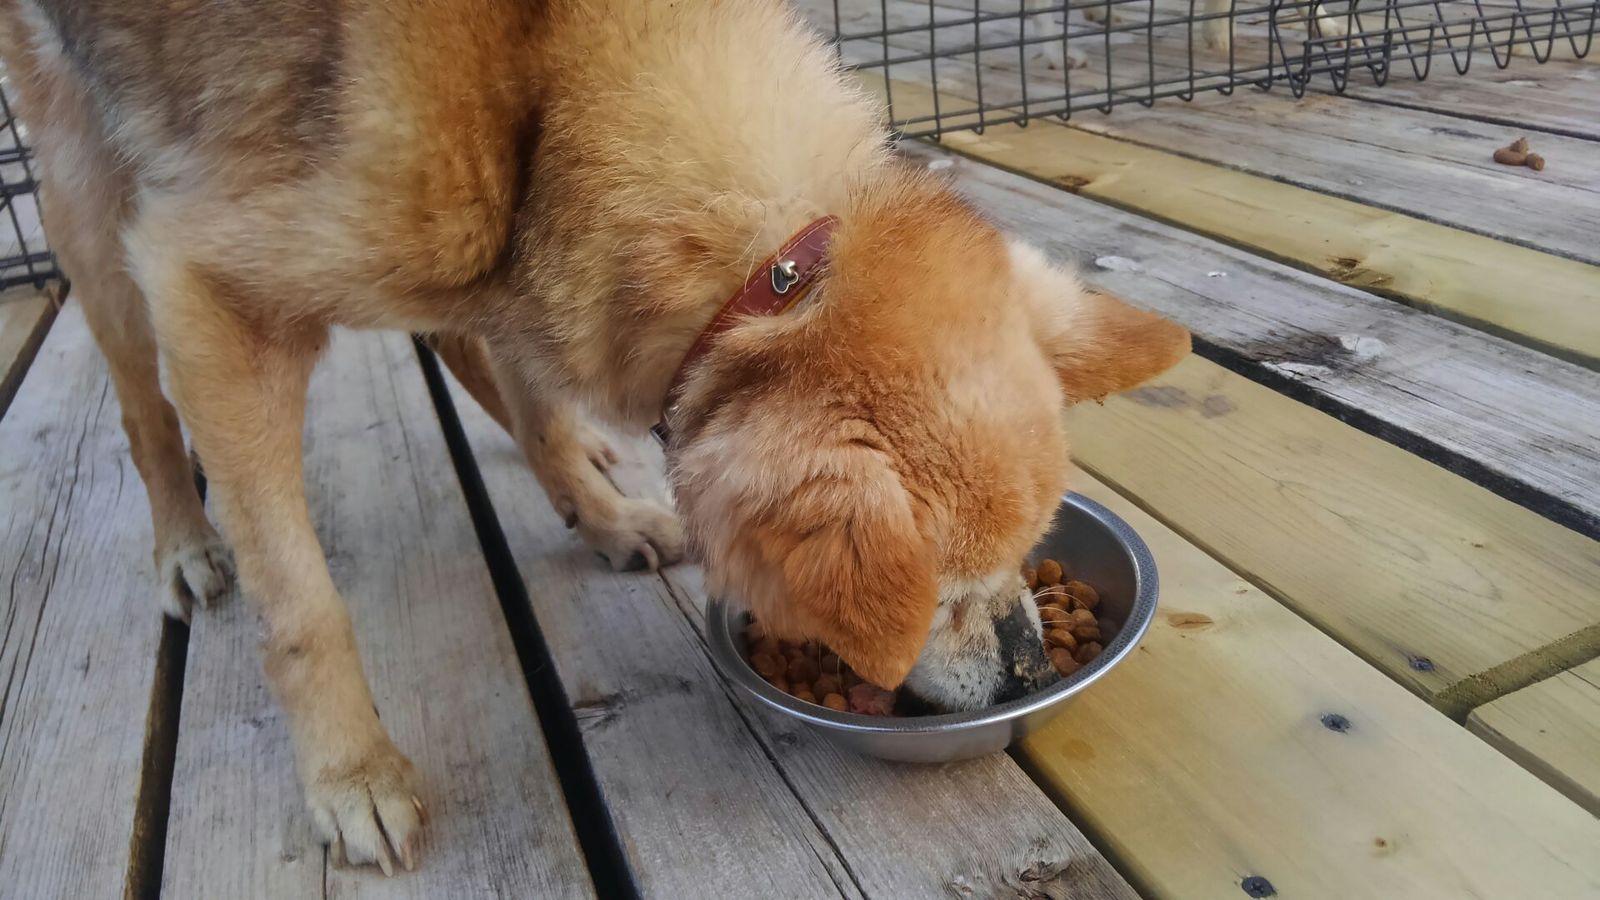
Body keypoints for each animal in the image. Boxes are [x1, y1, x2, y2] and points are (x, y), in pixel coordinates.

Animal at [0, 0, 1188, 873]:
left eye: (1027, 552)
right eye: (941, 596)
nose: (1030, 675)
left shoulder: (523, 263)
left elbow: (530, 387)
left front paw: (599, 505)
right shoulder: (207, 287)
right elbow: (304, 607)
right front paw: (354, 775)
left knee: (471, 343)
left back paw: (602, 499)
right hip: (89, 202)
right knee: (139, 400)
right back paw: (187, 545)